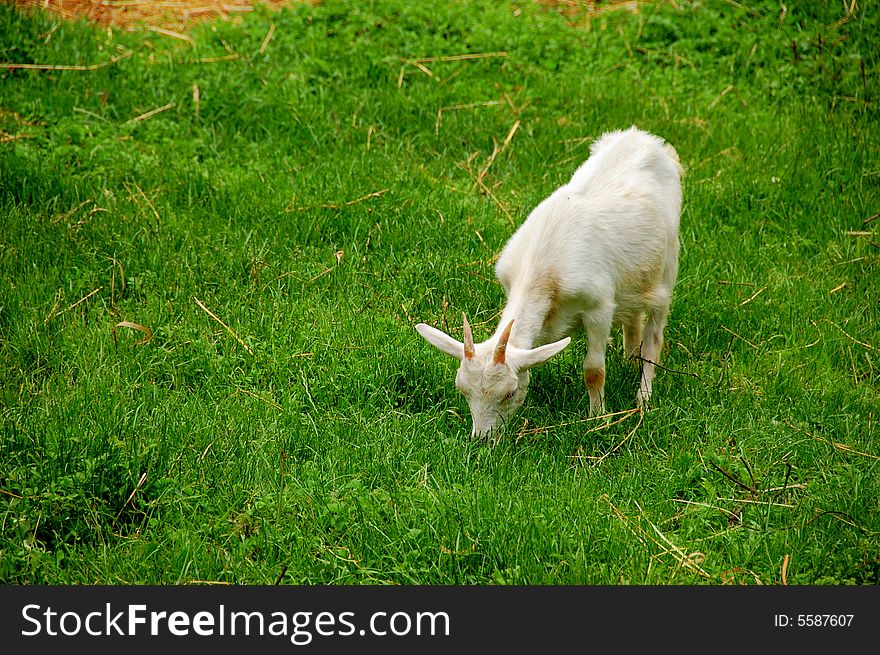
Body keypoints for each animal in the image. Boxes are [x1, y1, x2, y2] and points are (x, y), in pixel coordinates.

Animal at [416, 125, 684, 438]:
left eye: (509, 393)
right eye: (463, 391)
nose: (482, 440)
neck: (542, 276)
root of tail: (647, 140)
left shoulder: (599, 307)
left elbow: (593, 370)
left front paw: (597, 419)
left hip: (667, 265)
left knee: (655, 336)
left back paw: (644, 397)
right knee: (633, 317)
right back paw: (629, 359)